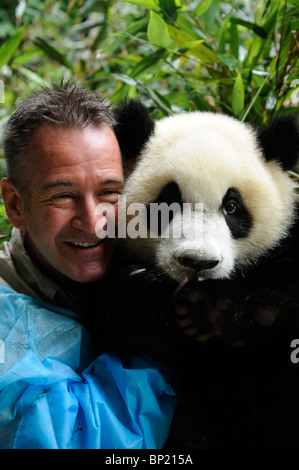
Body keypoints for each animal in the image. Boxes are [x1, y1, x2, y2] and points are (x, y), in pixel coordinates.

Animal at [95, 102, 299, 448]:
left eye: (232, 206)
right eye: (168, 203)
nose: (197, 262)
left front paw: (215, 312)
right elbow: (115, 343)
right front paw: (140, 294)